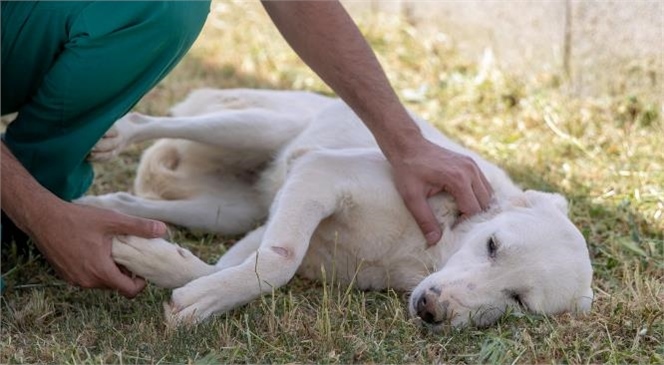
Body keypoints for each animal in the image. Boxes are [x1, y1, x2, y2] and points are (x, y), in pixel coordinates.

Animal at [76, 88, 592, 328]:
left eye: (519, 301)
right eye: (492, 246)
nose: (431, 310)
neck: (427, 252)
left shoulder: (278, 220)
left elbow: (227, 267)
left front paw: (157, 263)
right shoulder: (319, 172)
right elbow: (278, 263)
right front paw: (195, 295)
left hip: (231, 211)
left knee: (128, 200)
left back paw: (93, 209)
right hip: (251, 129)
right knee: (153, 121)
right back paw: (116, 136)